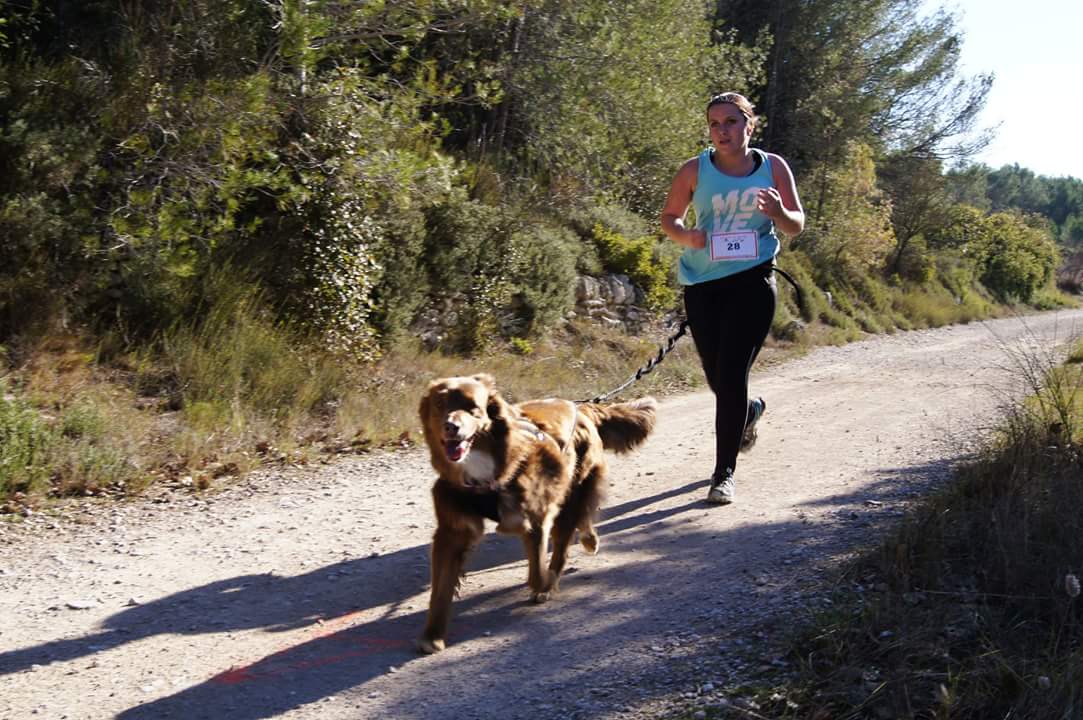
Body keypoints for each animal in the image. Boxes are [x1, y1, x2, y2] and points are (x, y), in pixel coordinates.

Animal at [413, 372, 654, 653]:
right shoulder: (452, 530)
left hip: (574, 491)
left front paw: (546, 584)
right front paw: (433, 634)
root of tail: (581, 408)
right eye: (440, 405)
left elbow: (537, 572)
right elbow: (439, 590)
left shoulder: (536, 517)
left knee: (566, 540)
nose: (451, 427)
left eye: (473, 407)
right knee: (582, 520)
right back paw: (588, 538)